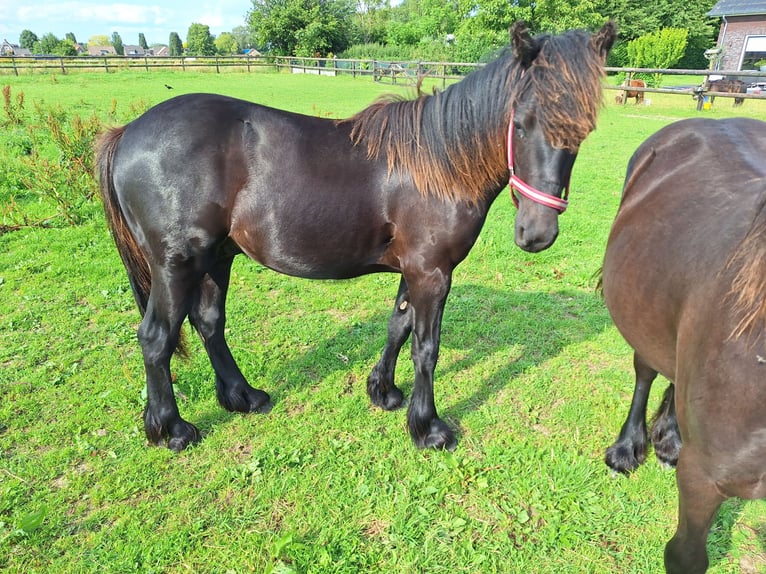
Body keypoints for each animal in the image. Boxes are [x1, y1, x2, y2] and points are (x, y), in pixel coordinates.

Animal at [97, 21, 616, 454]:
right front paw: (428, 428)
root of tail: (127, 133)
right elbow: (426, 348)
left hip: (216, 258)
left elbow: (398, 327)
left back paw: (243, 397)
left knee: (209, 324)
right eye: (521, 123)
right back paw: (172, 429)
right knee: (156, 338)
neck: (440, 163)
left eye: (584, 129)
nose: (537, 233)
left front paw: (383, 392)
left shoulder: (416, 269)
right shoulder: (432, 273)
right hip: (177, 264)